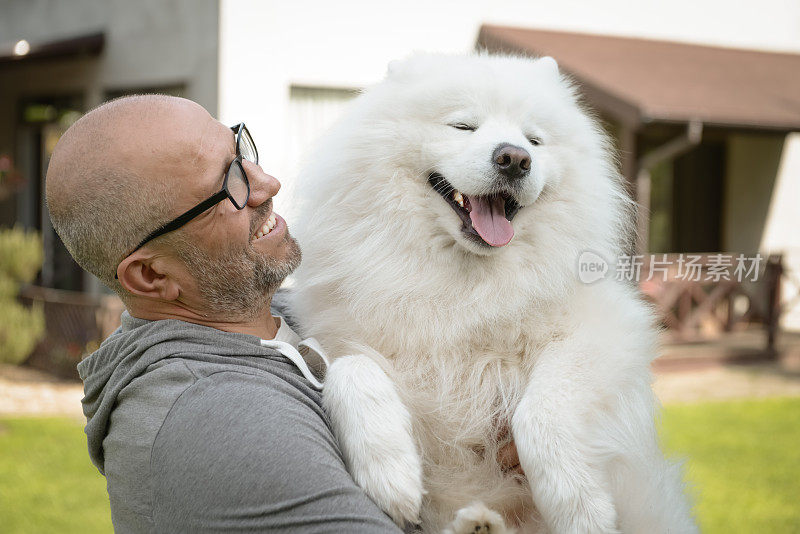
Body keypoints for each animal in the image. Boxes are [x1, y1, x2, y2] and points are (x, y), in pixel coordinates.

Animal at [288, 53, 692, 534]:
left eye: (534, 139)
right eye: (464, 125)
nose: (515, 159)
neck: (468, 287)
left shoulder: (607, 331)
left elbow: (540, 411)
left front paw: (579, 505)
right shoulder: (336, 339)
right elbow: (350, 368)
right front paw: (390, 472)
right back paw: (477, 522)